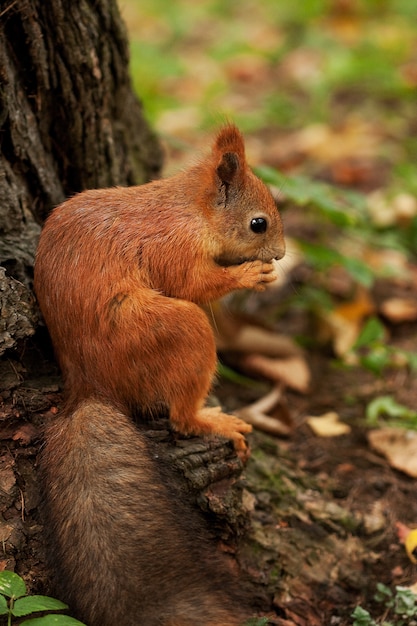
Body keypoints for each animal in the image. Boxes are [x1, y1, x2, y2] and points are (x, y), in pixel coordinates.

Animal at [34, 125, 284, 624]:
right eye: (258, 224)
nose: (283, 255)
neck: (192, 210)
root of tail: (88, 386)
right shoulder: (173, 245)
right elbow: (191, 282)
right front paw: (249, 276)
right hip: (172, 330)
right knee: (181, 417)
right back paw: (211, 420)